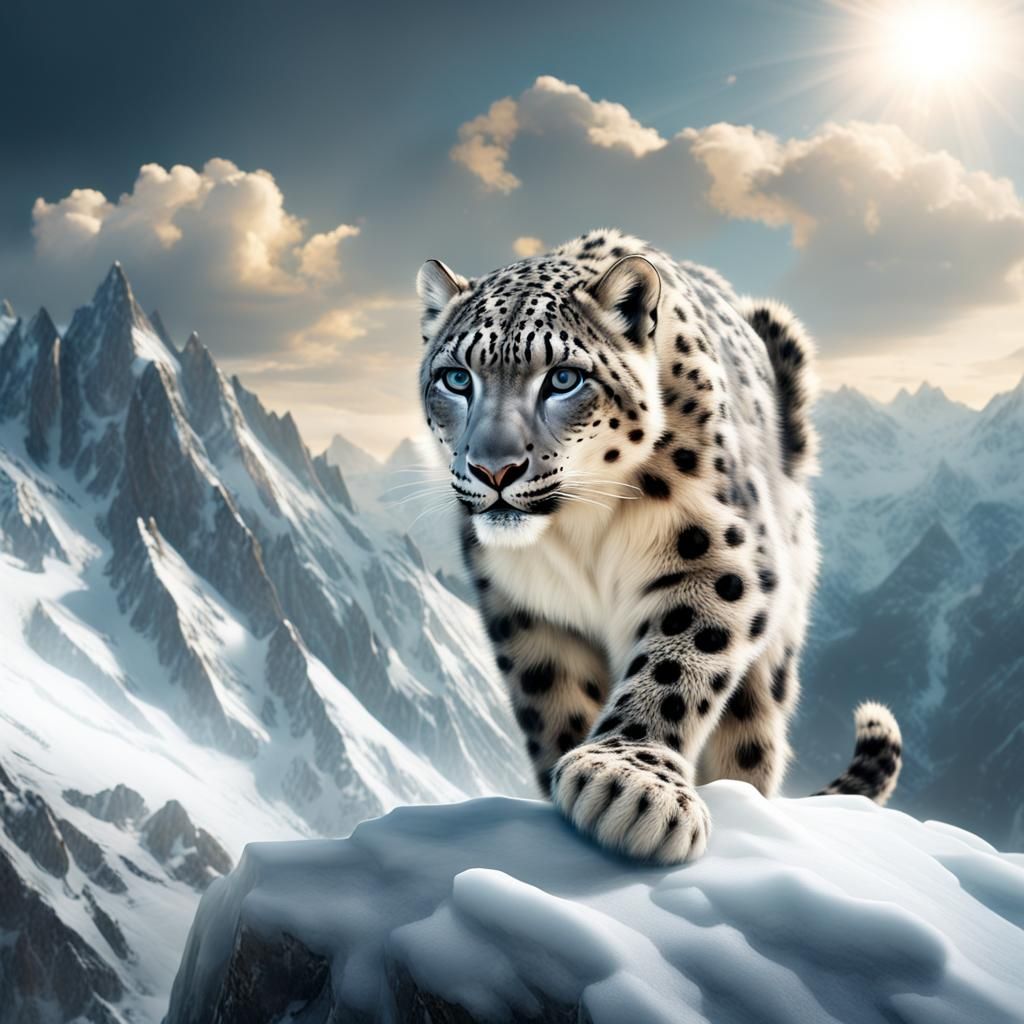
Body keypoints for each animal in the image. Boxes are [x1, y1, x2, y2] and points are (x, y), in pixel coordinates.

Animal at [415, 228, 902, 864]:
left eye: (563, 378)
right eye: (456, 378)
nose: (493, 469)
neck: (578, 532)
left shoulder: (721, 554)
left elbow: (675, 663)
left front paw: (626, 785)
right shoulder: (527, 608)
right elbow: (556, 697)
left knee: (749, 738)